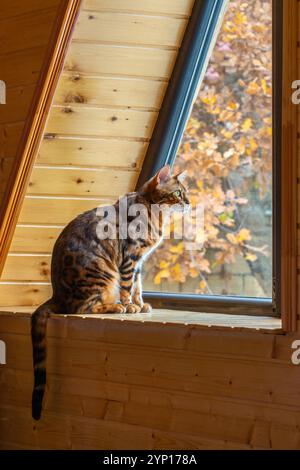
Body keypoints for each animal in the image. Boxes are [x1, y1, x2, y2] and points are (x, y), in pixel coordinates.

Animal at [31, 165, 190, 418]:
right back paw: (115, 307)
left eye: (186, 192)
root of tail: (56, 294)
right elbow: (127, 286)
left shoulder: (139, 262)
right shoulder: (130, 257)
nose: (189, 203)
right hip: (102, 273)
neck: (152, 211)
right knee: (83, 308)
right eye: (177, 193)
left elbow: (137, 286)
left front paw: (140, 304)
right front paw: (129, 306)